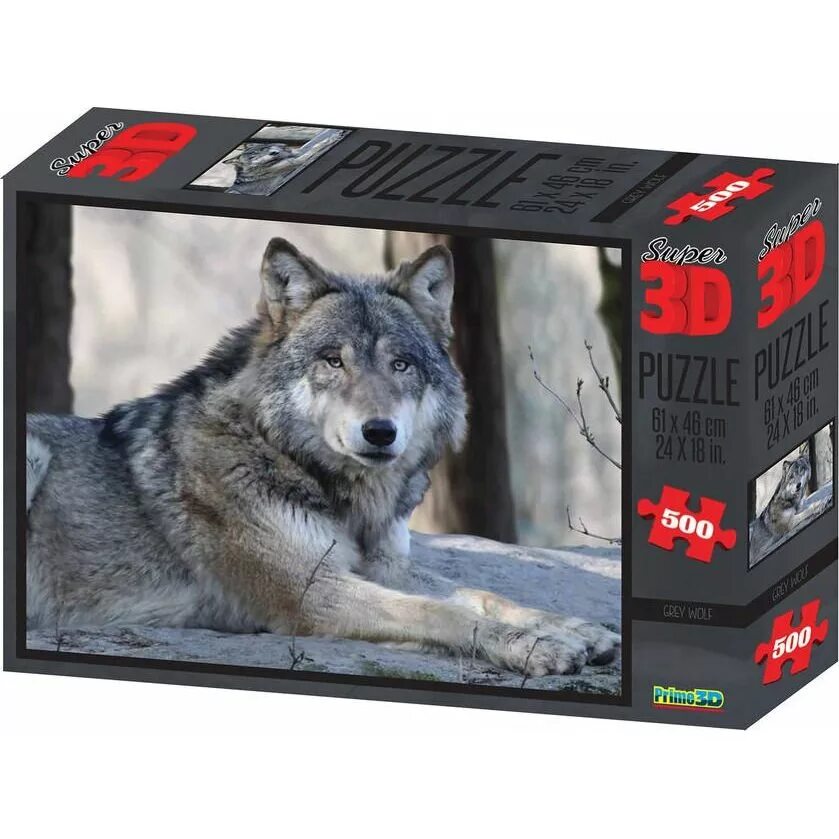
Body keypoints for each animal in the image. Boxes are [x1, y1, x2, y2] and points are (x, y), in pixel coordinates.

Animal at [26, 238, 620, 677]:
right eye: (334, 361)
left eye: (401, 365)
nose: (379, 432)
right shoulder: (308, 592)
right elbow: (441, 610)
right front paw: (534, 645)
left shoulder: (385, 566)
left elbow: (480, 592)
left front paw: (572, 628)